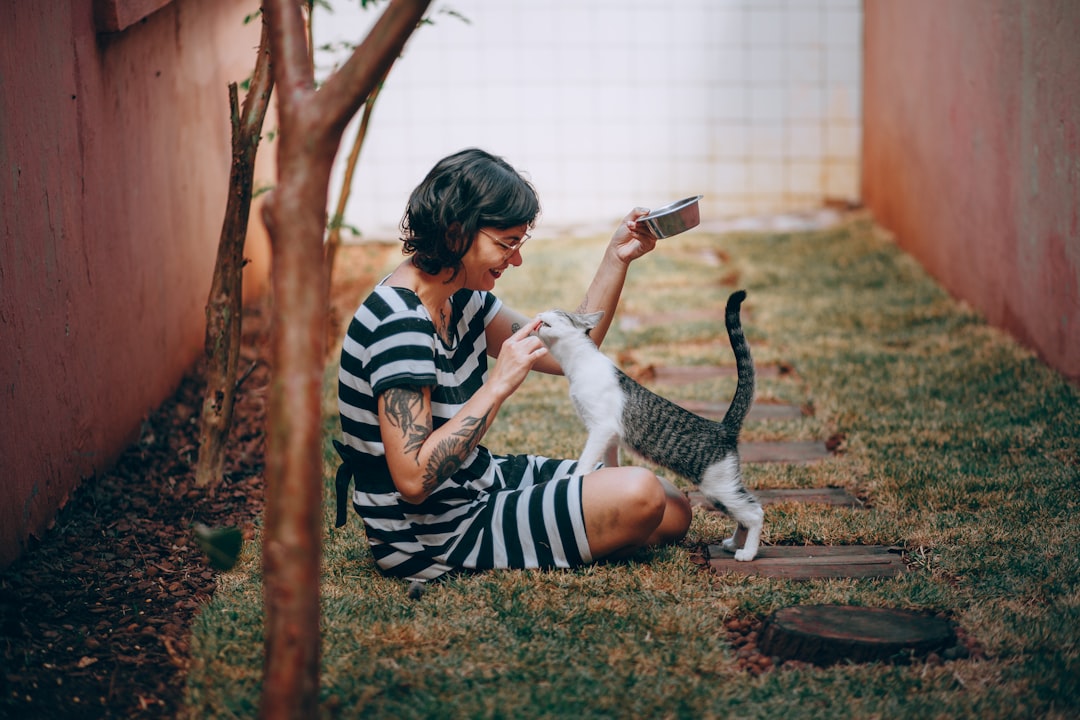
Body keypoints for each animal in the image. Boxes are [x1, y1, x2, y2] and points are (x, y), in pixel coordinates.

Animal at [535, 289, 764, 561]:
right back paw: (734, 543)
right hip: (722, 491)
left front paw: (576, 477)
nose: (539, 313)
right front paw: (610, 478)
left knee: (755, 512)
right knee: (744, 513)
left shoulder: (601, 428)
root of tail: (723, 429)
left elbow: (586, 459)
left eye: (557, 312)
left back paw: (747, 552)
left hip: (718, 486)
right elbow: (610, 461)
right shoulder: (611, 436)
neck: (579, 364)